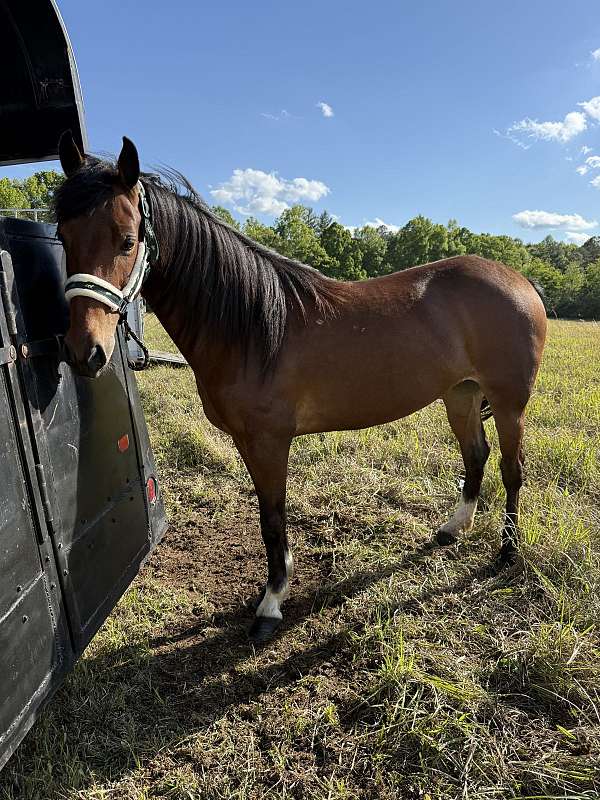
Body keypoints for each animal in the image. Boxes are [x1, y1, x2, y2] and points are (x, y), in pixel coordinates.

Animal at [55, 132, 547, 643]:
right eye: (63, 236)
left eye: (128, 240)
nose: (85, 350)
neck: (251, 327)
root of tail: (520, 281)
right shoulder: (249, 442)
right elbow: (268, 514)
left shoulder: (269, 442)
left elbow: (272, 518)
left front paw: (271, 603)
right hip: (461, 394)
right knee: (476, 454)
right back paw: (454, 528)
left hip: (508, 402)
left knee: (512, 469)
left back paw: (507, 553)